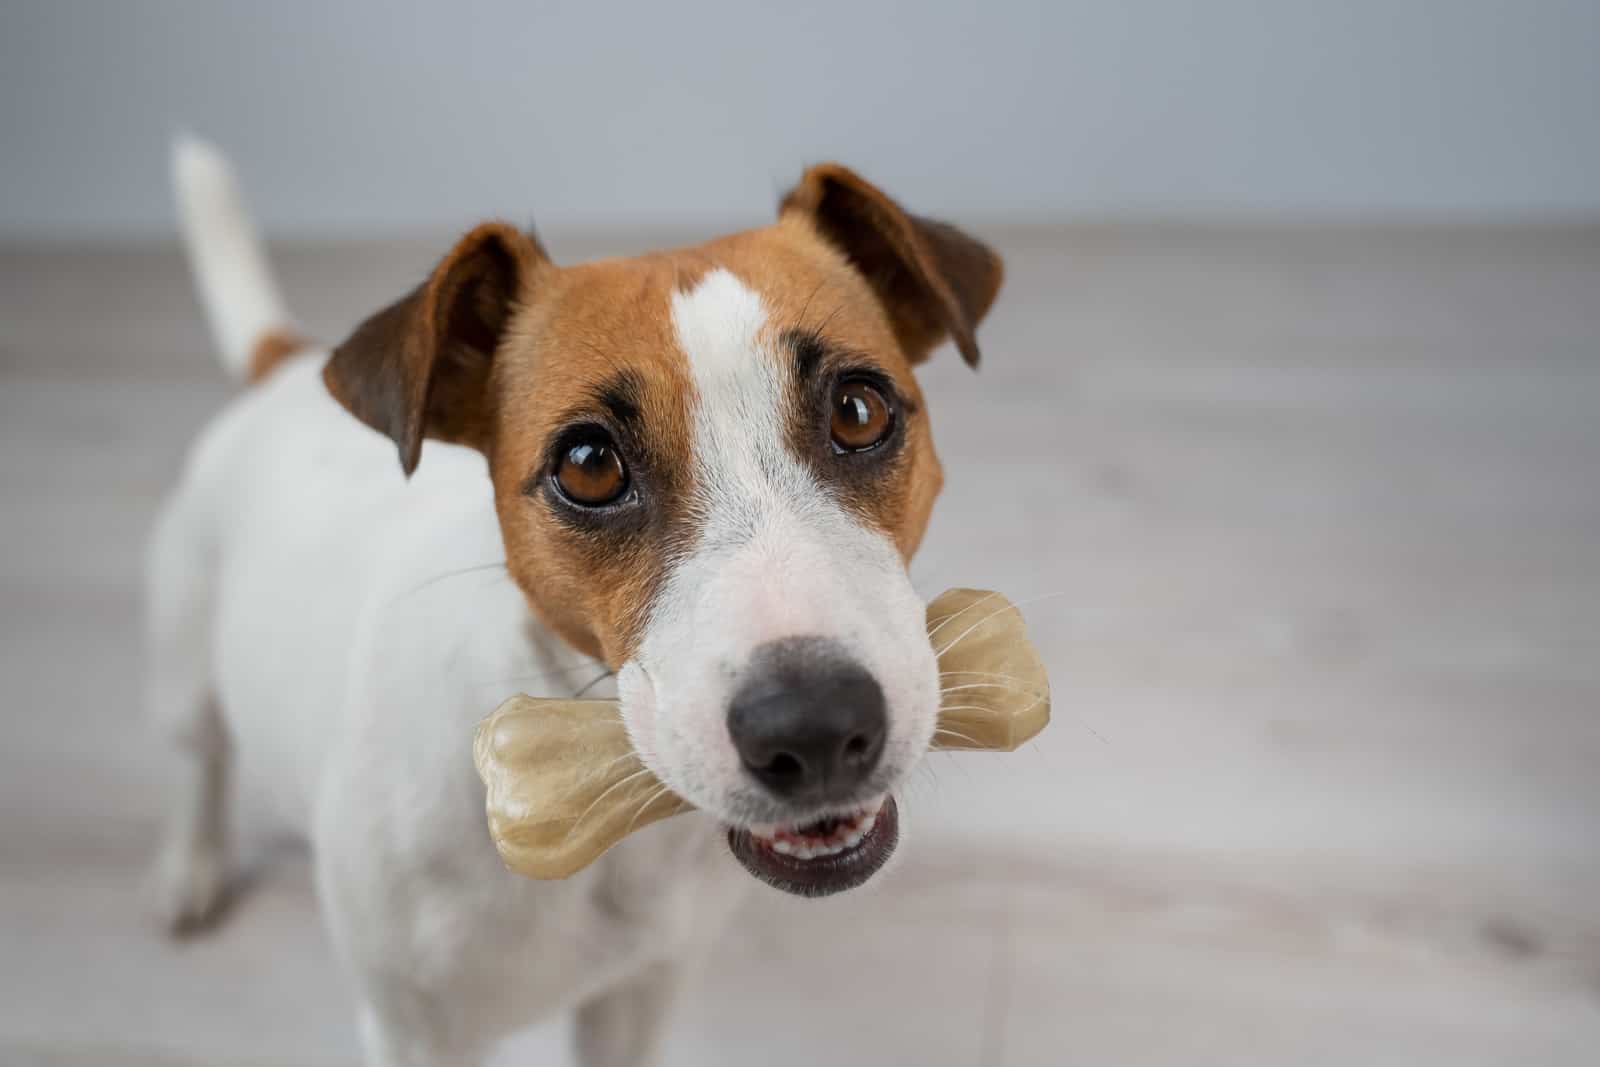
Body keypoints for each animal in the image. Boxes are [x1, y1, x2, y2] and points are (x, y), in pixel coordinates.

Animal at [150, 137, 998, 1062]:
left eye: (857, 410)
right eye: (589, 465)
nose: (813, 729)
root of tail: (287, 364)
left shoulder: (638, 990)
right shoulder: (413, 1030)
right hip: (186, 663)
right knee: (198, 760)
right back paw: (190, 870)